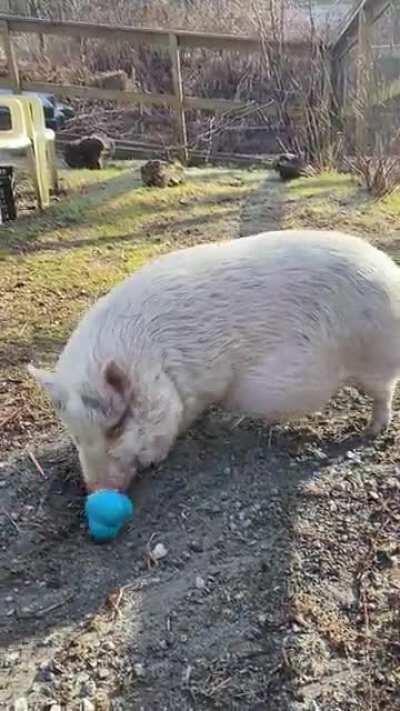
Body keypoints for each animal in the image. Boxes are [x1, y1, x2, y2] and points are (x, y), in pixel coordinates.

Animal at [29, 230, 400, 492]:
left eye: (116, 427)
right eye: (75, 435)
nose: (94, 490)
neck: (159, 362)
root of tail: (390, 273)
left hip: (374, 359)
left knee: (384, 394)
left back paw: (370, 431)